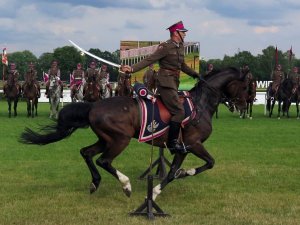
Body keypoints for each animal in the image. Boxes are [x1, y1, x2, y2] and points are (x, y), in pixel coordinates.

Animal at [20, 67, 246, 201]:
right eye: (245, 86)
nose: (243, 105)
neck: (201, 104)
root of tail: (93, 106)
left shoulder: (183, 149)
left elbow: (174, 172)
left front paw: (164, 186)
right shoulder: (192, 144)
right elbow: (208, 163)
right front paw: (159, 190)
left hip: (106, 140)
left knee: (86, 153)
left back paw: (95, 183)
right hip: (120, 140)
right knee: (103, 160)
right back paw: (125, 185)